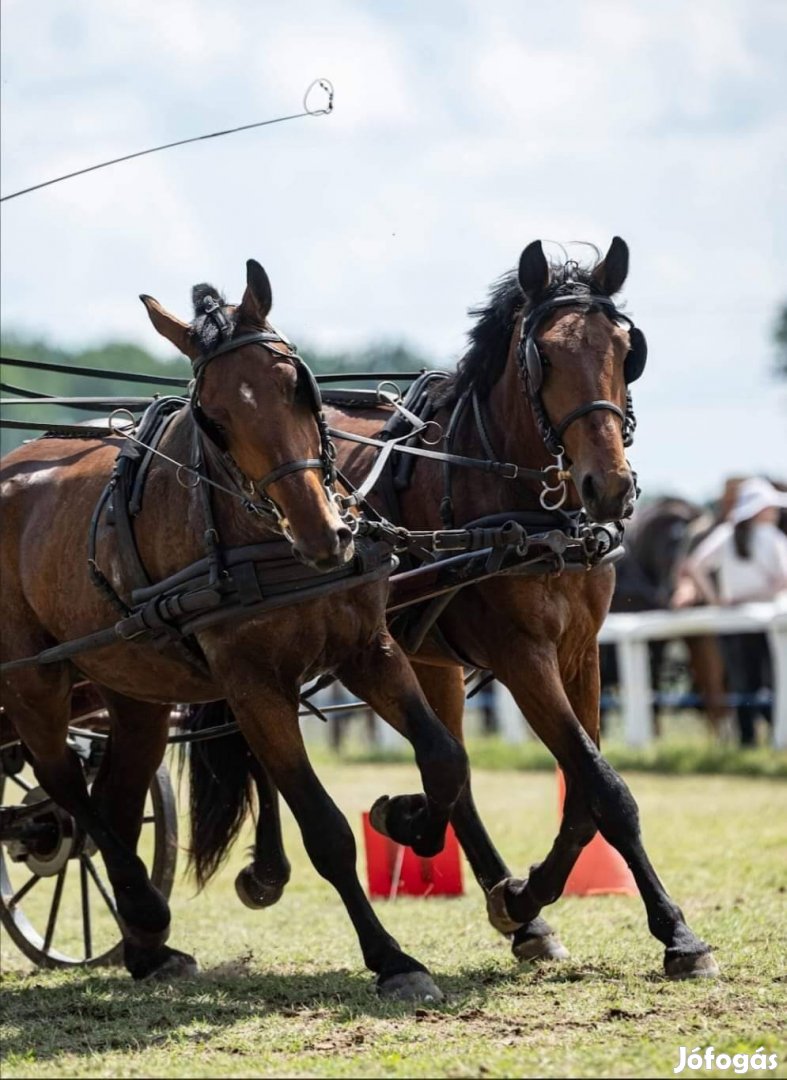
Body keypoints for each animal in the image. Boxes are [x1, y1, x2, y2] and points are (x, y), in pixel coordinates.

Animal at [0, 259, 466, 993]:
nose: (323, 535)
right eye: (212, 418)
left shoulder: (369, 648)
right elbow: (326, 831)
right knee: (68, 792)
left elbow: (445, 759)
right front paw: (392, 959)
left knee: (115, 794)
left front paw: (407, 820)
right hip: (33, 687)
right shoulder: (253, 687)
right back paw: (142, 908)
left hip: (132, 688)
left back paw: (147, 948)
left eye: (299, 385)